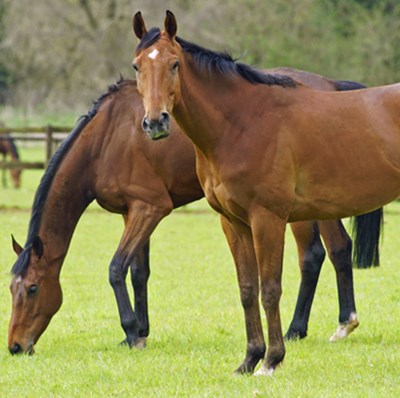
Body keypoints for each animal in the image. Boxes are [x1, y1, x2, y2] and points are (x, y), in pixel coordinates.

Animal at [9, 74, 376, 354]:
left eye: (33, 289)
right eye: (11, 289)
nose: (15, 346)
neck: (106, 140)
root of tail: (330, 84)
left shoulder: (150, 208)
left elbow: (116, 269)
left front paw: (130, 331)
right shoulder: (133, 212)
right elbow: (138, 272)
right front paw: (140, 330)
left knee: (322, 253)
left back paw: (312, 327)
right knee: (329, 251)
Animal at [132, 10, 394, 374]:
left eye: (174, 64)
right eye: (137, 66)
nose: (155, 123)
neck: (242, 123)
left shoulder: (267, 219)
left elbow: (270, 288)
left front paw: (271, 360)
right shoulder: (233, 222)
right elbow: (247, 289)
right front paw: (249, 359)